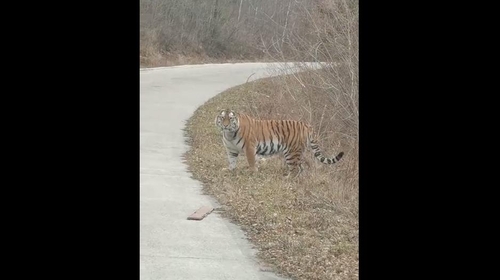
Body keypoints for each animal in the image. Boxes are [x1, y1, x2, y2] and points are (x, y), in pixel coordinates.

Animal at [215, 109, 344, 177]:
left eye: (230, 119)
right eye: (222, 118)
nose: (225, 125)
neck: (229, 135)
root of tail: (307, 125)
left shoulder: (249, 147)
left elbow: (251, 161)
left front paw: (252, 172)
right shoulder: (231, 150)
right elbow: (232, 161)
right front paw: (230, 170)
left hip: (291, 153)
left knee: (295, 169)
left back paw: (287, 179)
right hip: (296, 153)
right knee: (300, 168)